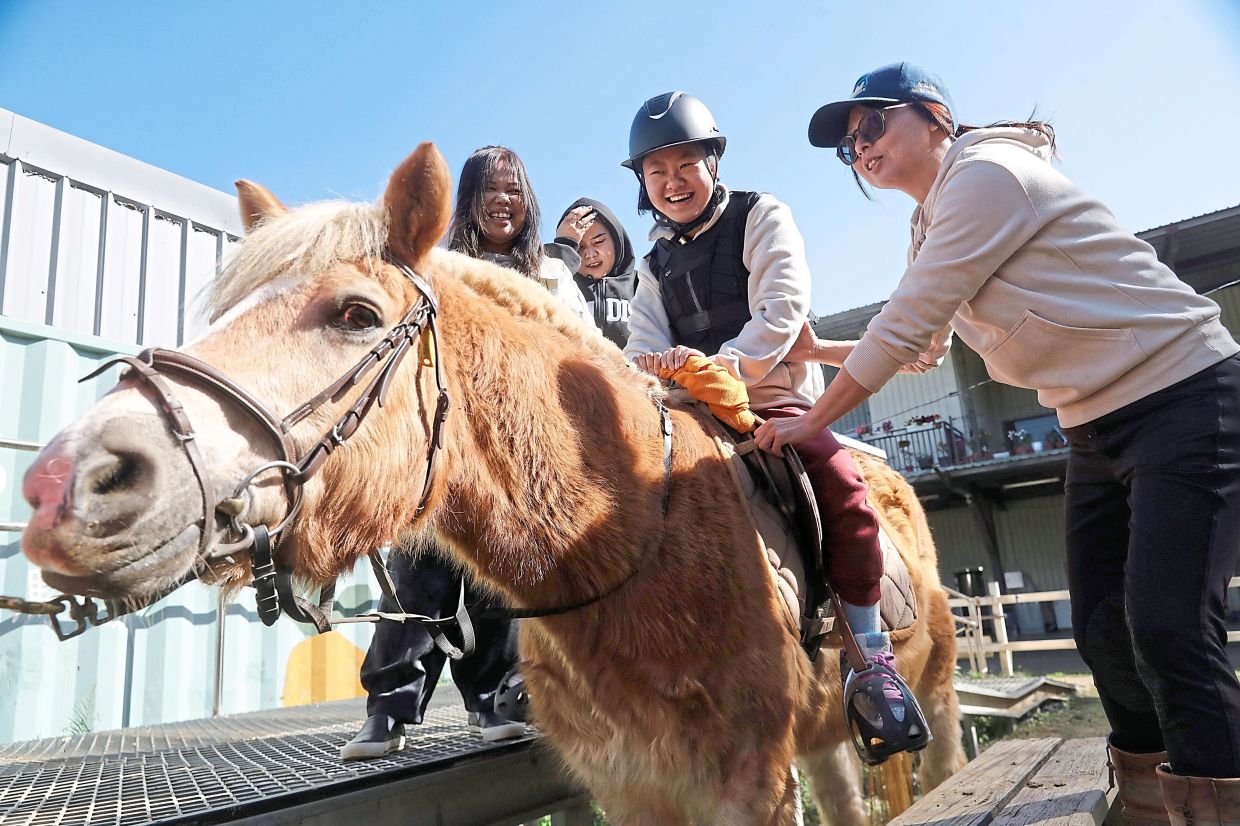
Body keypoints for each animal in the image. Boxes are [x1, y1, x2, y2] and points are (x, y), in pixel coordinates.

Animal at [19, 143, 965, 825]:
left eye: (356, 315)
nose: (65, 484)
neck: (636, 542)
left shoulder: (748, 783)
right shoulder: (634, 790)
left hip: (940, 694)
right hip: (823, 742)